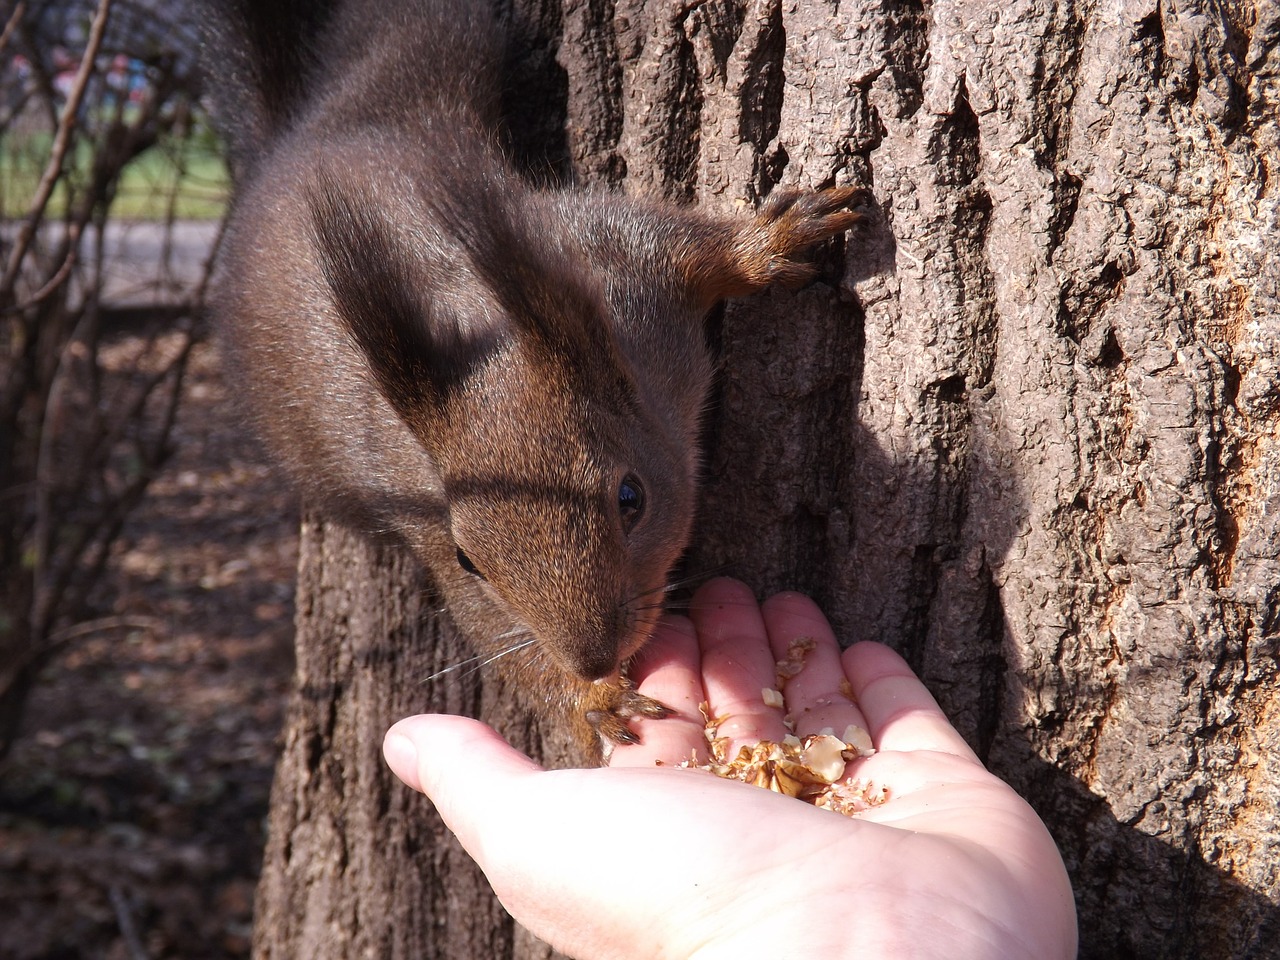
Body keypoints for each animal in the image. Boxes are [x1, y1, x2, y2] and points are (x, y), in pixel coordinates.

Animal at [209, 0, 870, 757]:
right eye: (467, 558)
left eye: (631, 498)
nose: (592, 656)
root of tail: (310, 134)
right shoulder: (427, 525)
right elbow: (498, 635)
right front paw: (595, 701)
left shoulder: (616, 264)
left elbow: (685, 247)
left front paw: (771, 242)